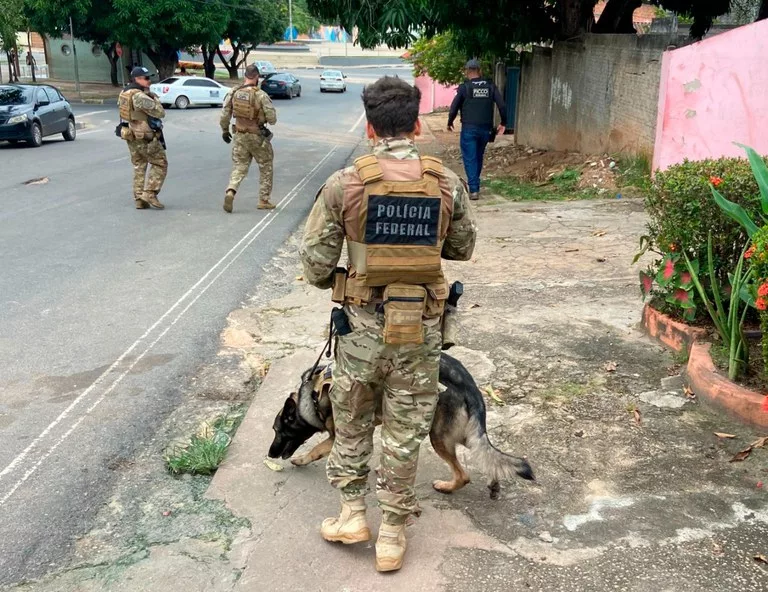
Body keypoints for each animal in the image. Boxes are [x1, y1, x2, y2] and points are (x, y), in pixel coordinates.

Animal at [268, 354, 532, 498]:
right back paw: (494, 482)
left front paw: (301, 459)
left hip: (438, 436)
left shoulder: (339, 435)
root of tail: (471, 389)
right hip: (462, 433)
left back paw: (447, 486)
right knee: (486, 452)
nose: (270, 454)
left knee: (464, 473)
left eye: (278, 431)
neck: (313, 395)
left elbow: (316, 450)